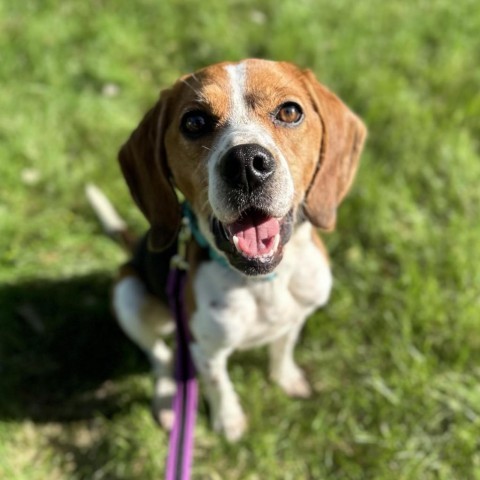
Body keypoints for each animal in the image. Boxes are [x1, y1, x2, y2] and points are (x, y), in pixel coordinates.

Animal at [89, 58, 368, 440]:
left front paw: (285, 379)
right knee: (161, 359)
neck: (265, 282)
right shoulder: (205, 349)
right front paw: (230, 422)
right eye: (194, 122)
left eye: (290, 111)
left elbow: (283, 350)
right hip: (127, 292)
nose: (246, 163)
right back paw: (166, 402)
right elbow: (219, 386)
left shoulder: (296, 318)